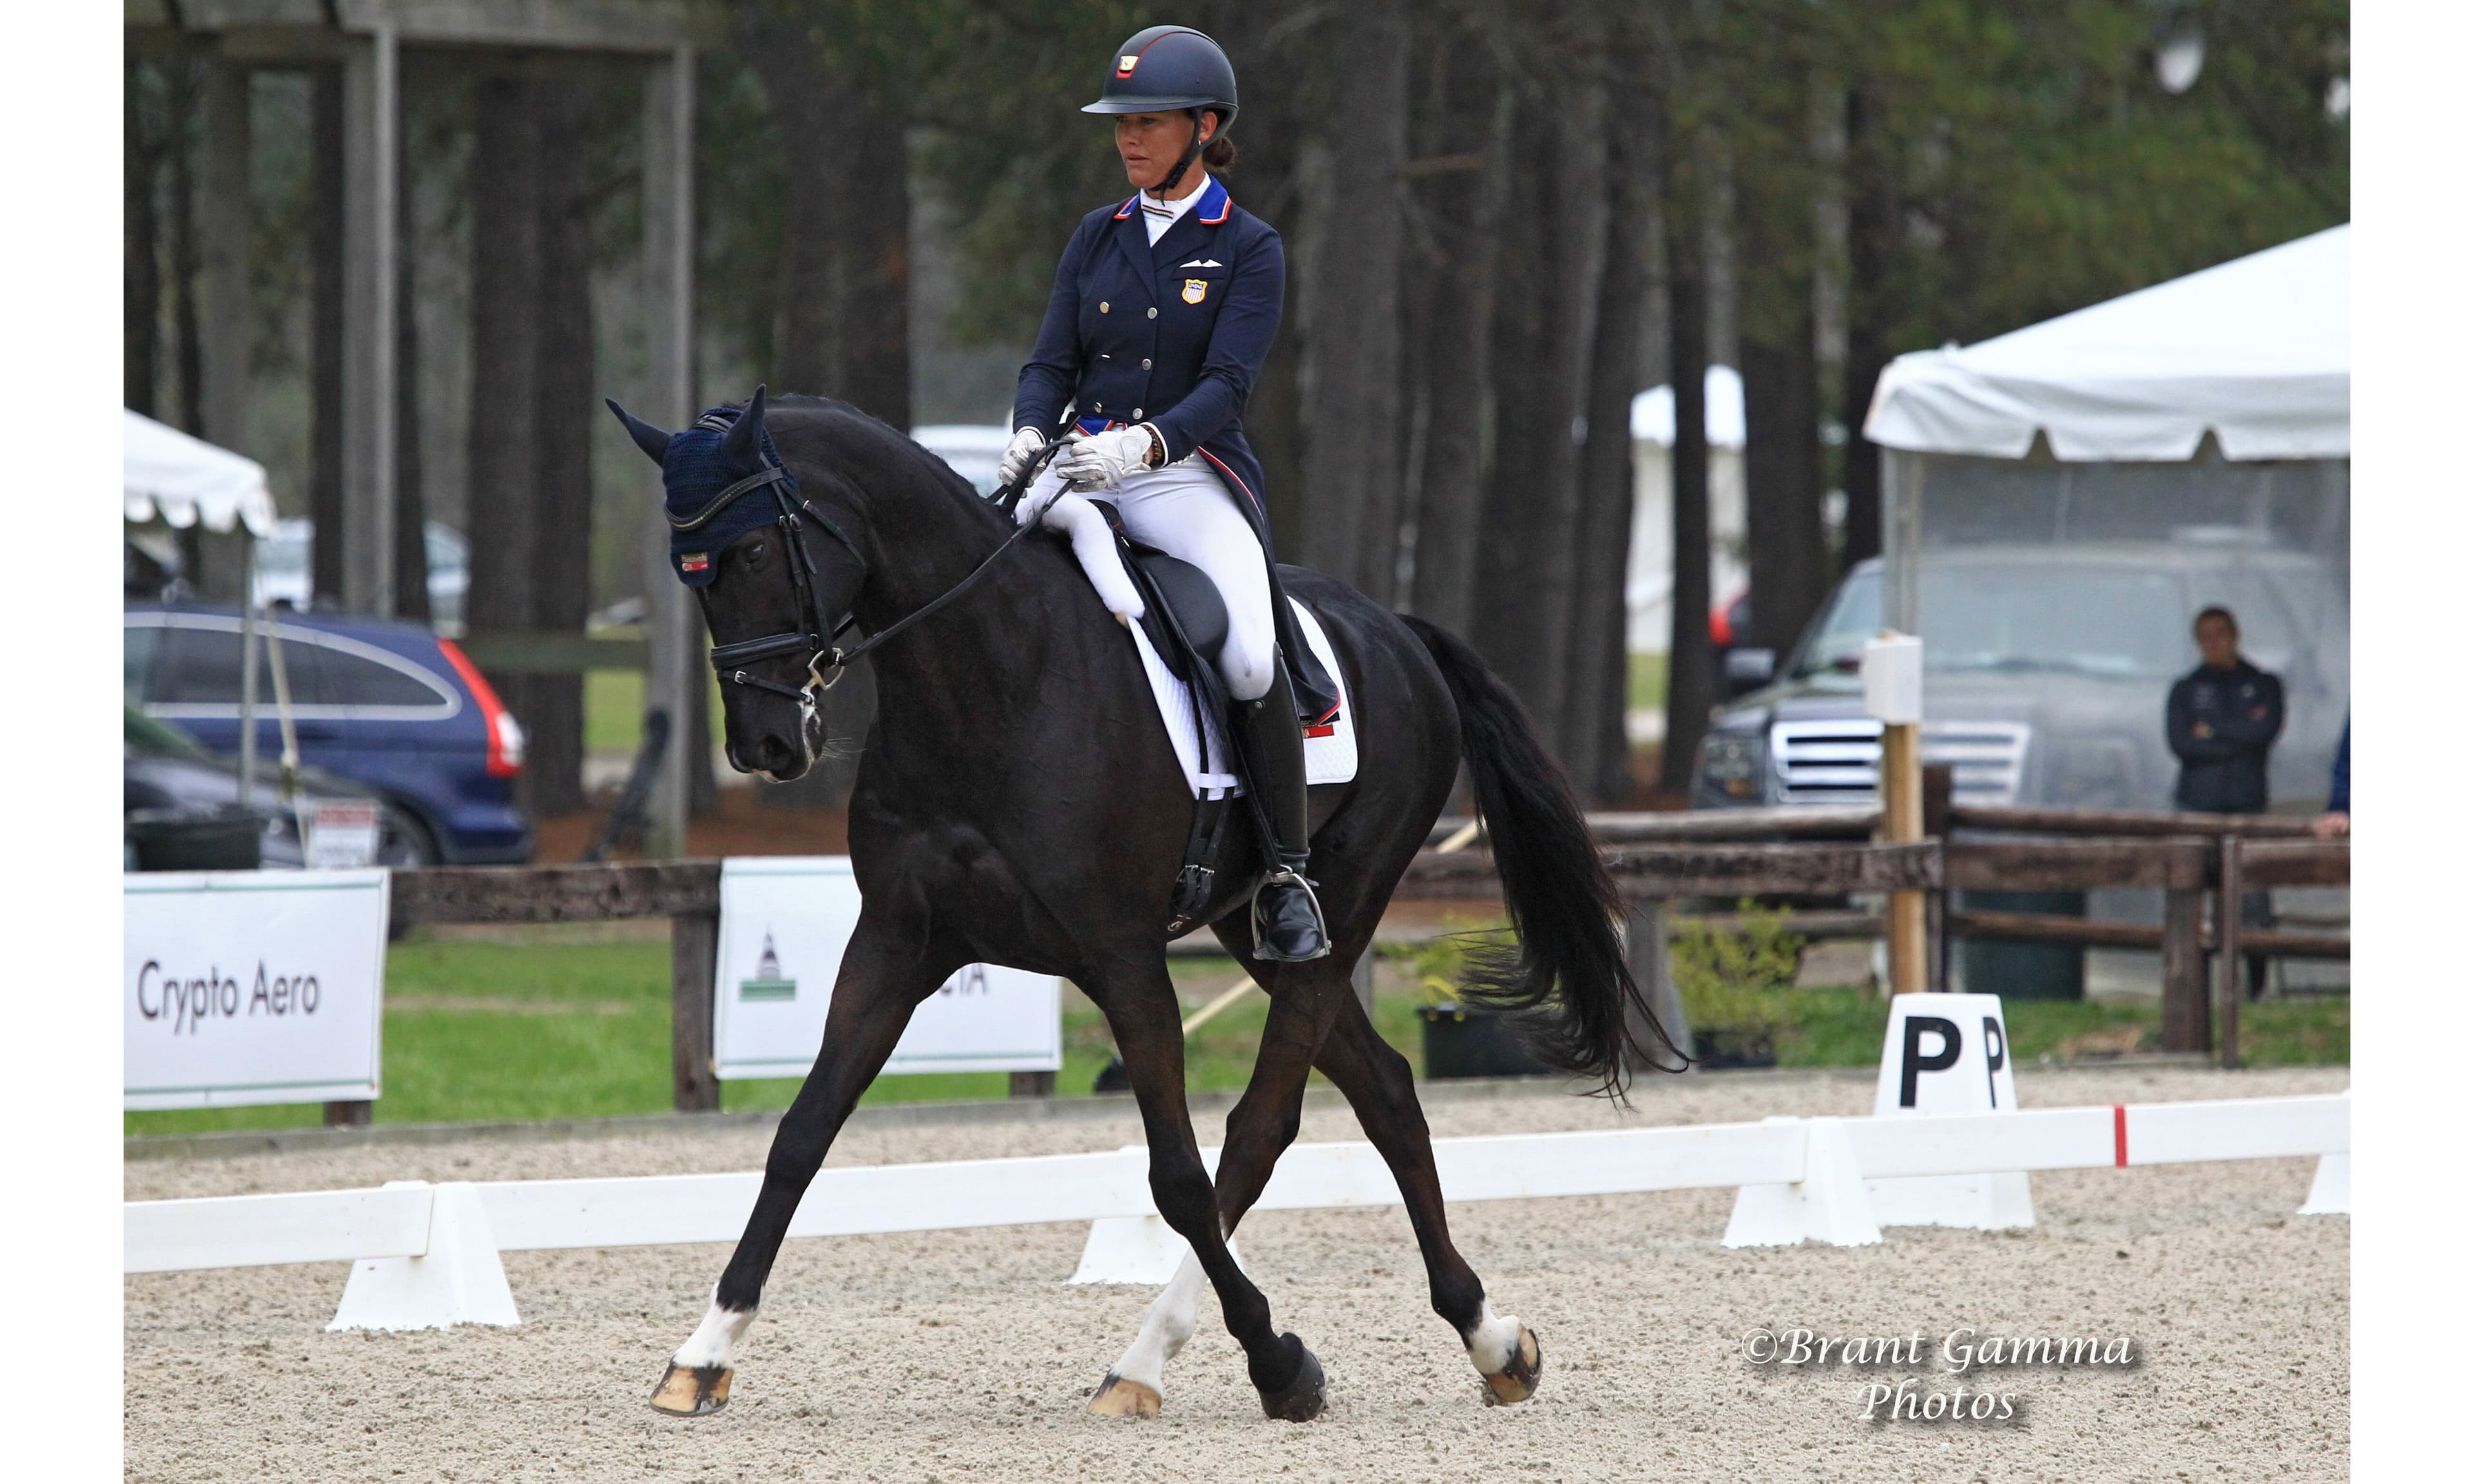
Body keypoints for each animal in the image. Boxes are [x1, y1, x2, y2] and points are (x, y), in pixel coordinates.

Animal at [604, 387, 1680, 1422]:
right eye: (688, 570)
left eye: (750, 550)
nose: (765, 746)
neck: (990, 676)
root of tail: (1398, 633)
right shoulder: (898, 941)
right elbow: (801, 1137)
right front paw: (702, 1355)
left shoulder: (1122, 959)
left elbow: (1178, 1175)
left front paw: (1282, 1363)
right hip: (1254, 928)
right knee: (1385, 1090)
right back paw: (1490, 1341)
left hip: (1341, 905)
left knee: (1260, 1127)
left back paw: (1157, 1360)